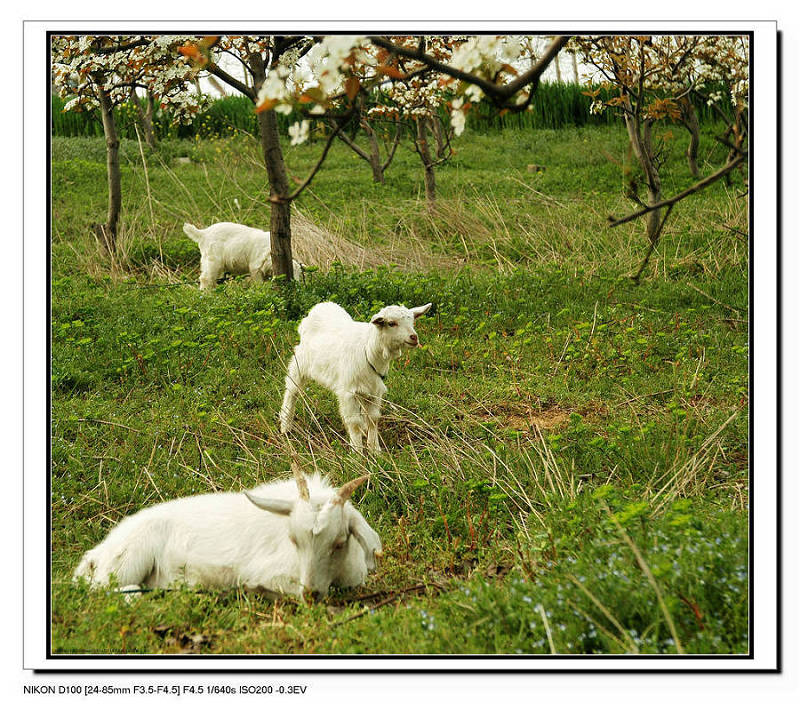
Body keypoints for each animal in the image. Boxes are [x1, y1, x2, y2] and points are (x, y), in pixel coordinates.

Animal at [72, 464, 382, 596]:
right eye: (294, 540)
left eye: (339, 542)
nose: (312, 594)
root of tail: (95, 555)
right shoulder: (270, 573)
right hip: (126, 561)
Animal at [280, 300, 432, 450]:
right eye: (391, 323)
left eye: (412, 321)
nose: (414, 337)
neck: (369, 350)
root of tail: (321, 305)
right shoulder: (349, 392)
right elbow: (354, 422)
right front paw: (357, 451)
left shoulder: (374, 391)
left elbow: (373, 418)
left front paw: (374, 449)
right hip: (300, 364)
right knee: (292, 391)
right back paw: (285, 426)